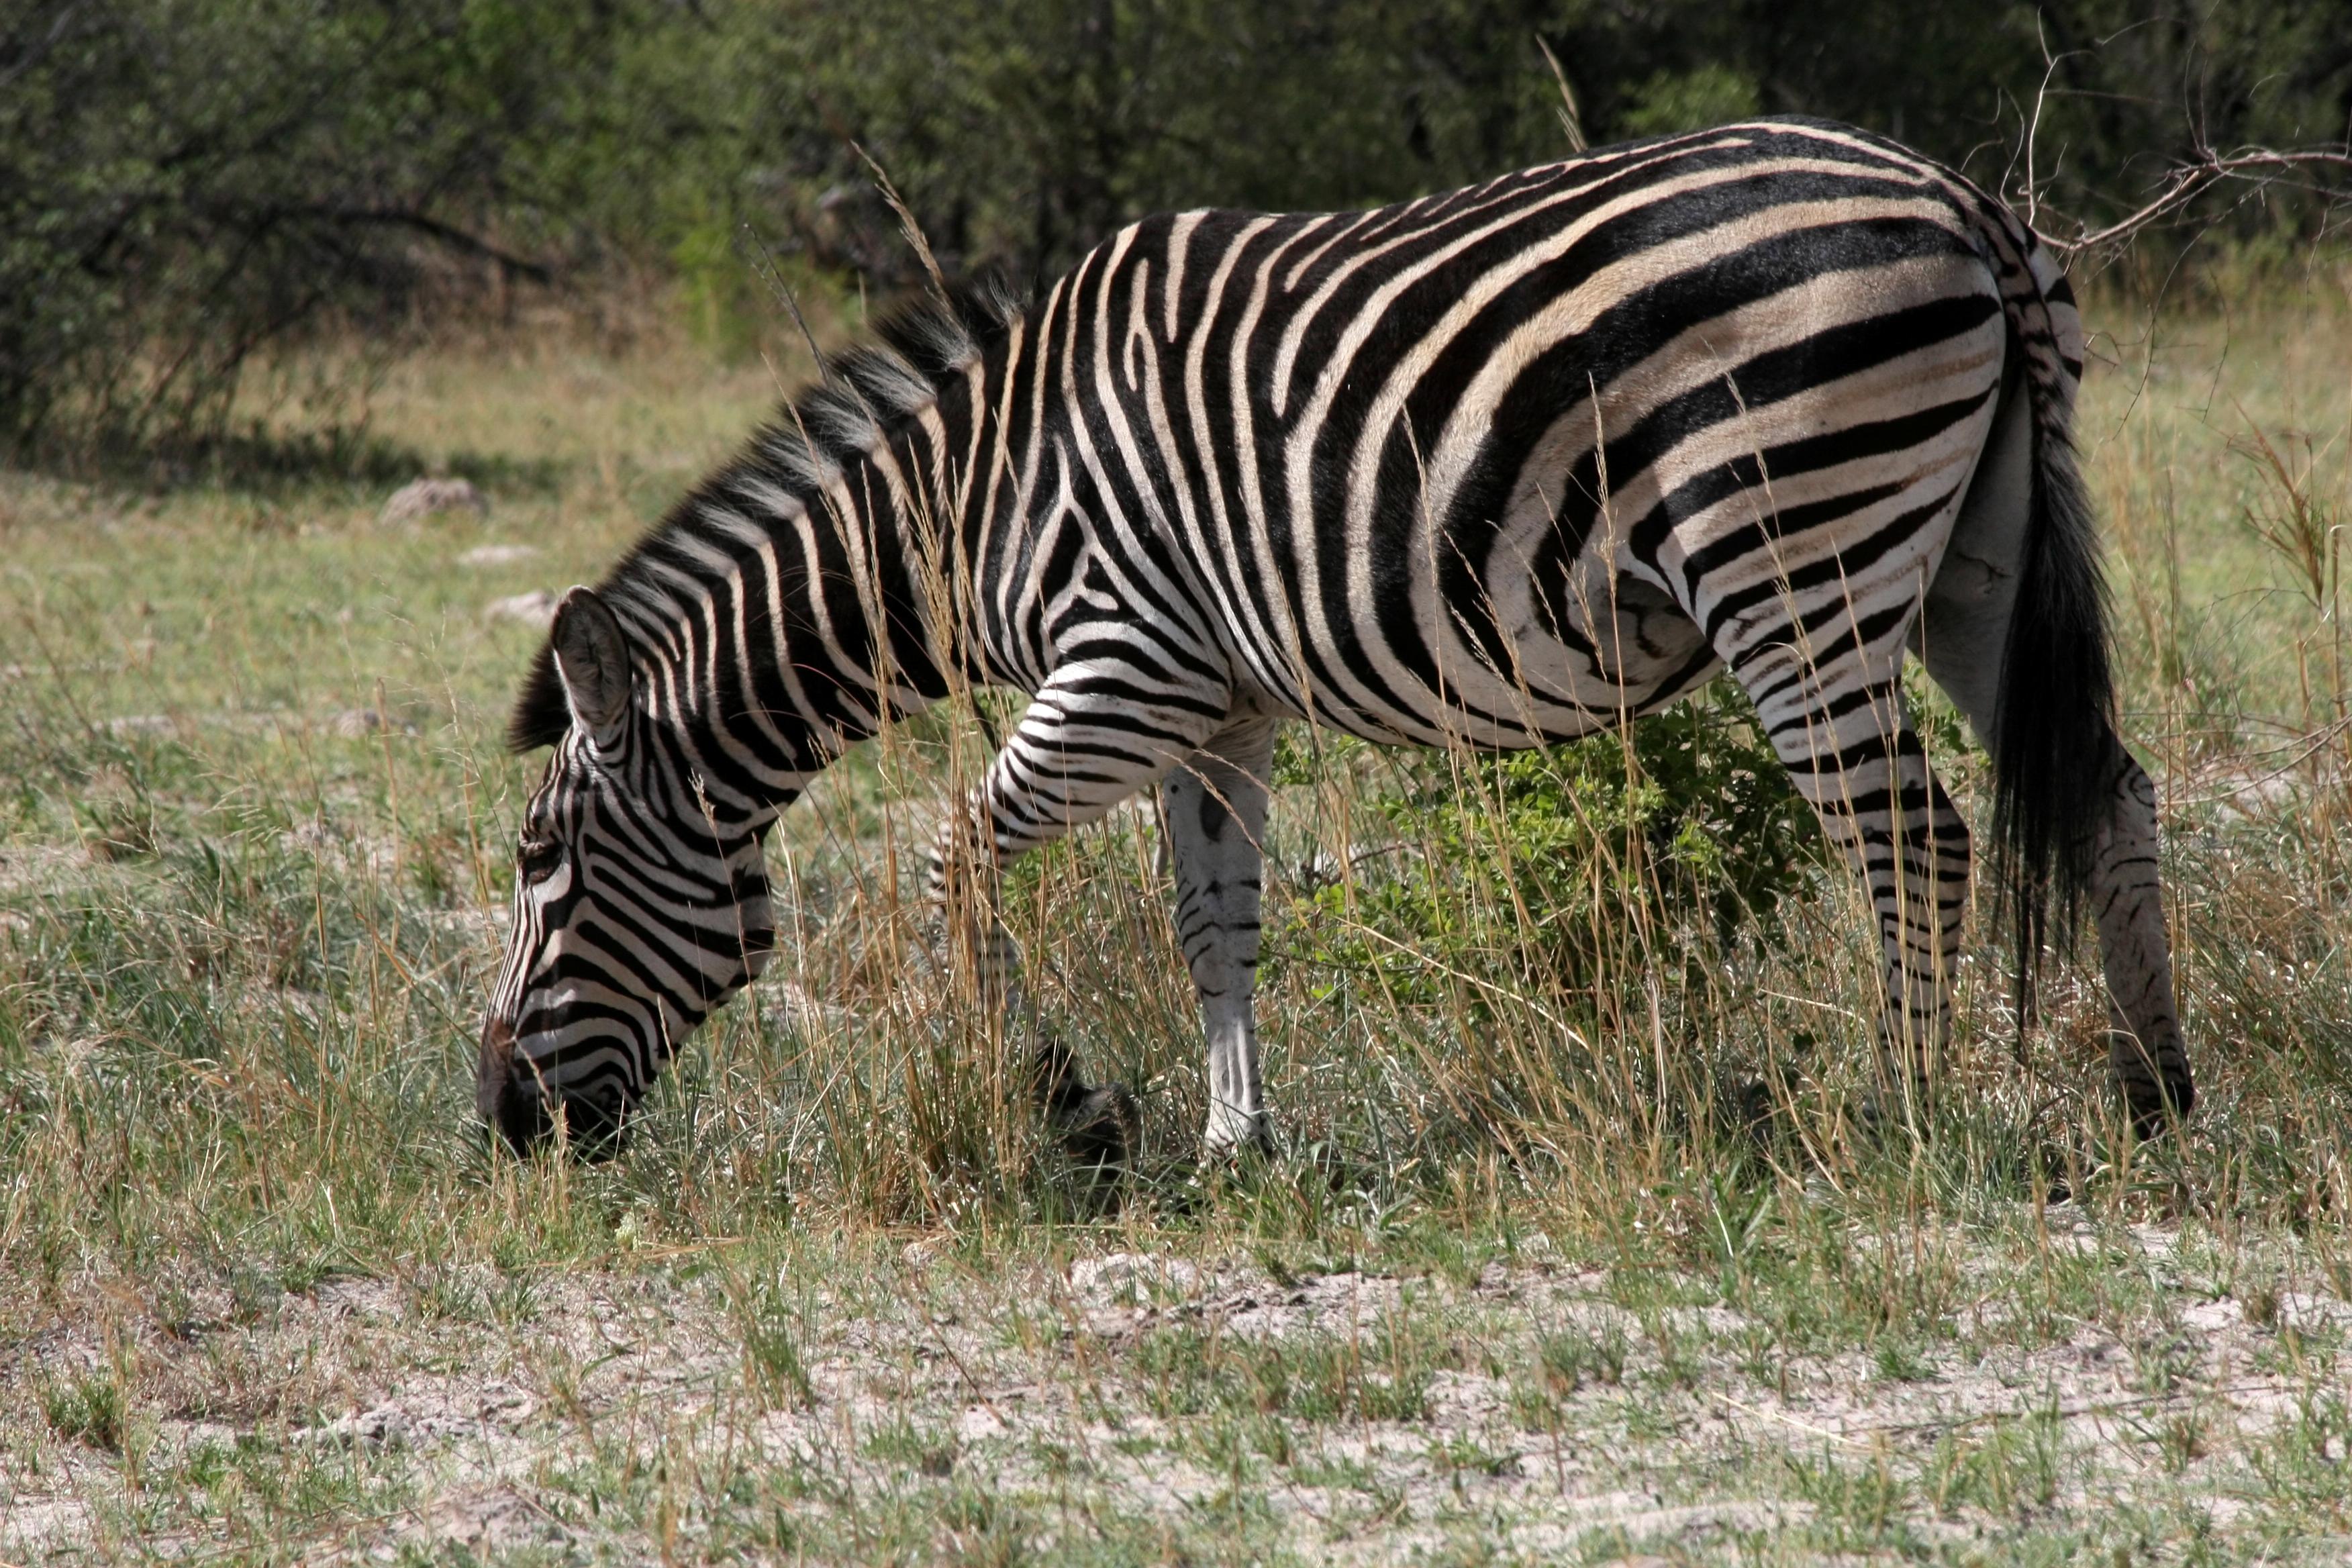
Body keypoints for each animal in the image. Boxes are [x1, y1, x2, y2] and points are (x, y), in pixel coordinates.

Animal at [475, 116, 2196, 1163]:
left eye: (541, 864)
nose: (501, 1119)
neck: (979, 497)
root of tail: (1959, 199)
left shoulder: (1123, 664)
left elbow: (951, 857)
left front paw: (1046, 1108)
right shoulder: (1213, 702)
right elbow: (1212, 918)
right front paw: (1235, 1142)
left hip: (1794, 560)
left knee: (1912, 836)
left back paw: (1894, 1116)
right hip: (1975, 557)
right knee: (2110, 792)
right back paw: (2158, 1093)